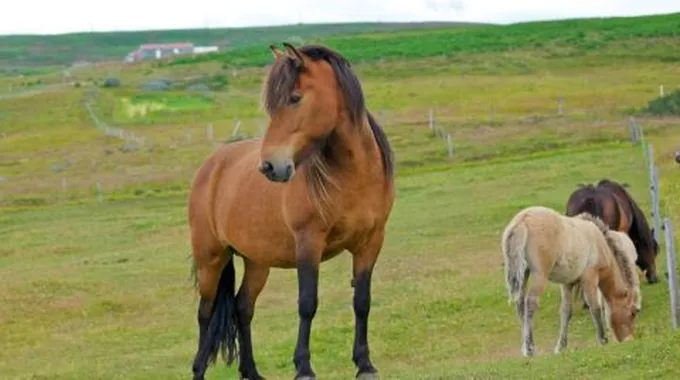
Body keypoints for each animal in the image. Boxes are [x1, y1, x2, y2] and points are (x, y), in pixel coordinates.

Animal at [189, 43, 396, 380]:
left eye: (295, 98)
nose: (270, 167)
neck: (353, 177)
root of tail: (211, 165)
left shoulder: (371, 242)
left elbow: (362, 301)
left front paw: (364, 363)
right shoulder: (309, 242)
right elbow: (307, 303)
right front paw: (304, 367)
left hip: (257, 261)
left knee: (242, 307)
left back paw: (252, 372)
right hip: (211, 257)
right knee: (205, 313)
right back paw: (198, 370)